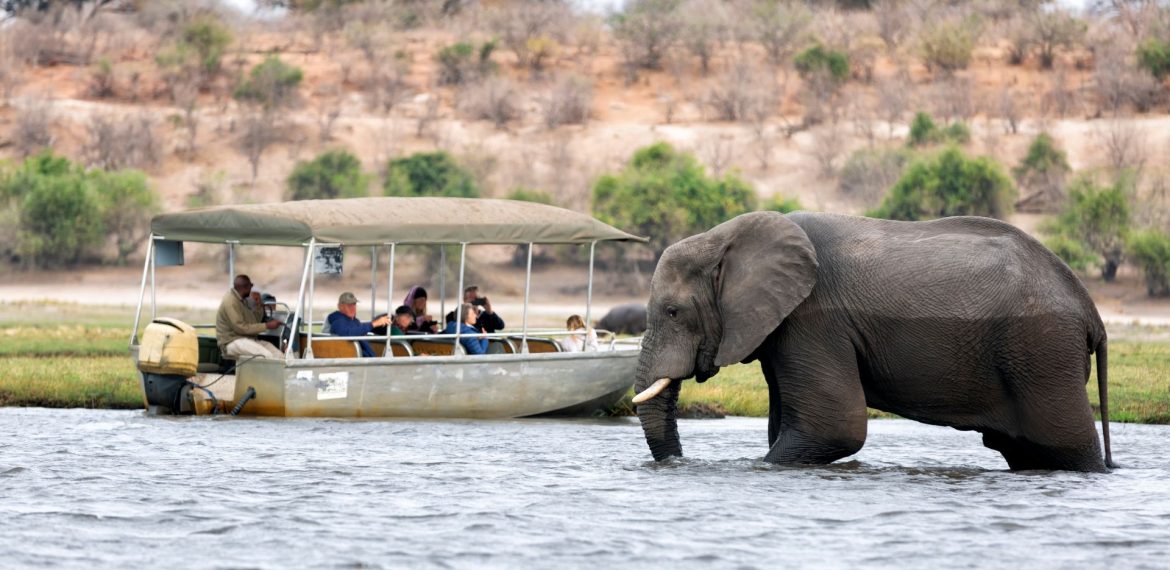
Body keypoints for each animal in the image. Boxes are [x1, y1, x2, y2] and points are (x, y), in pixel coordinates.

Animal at [632, 211, 1114, 472]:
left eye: (673, 312)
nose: (676, 464)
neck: (725, 237)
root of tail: (1090, 309)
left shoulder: (813, 321)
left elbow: (835, 429)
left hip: (1042, 349)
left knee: (1066, 446)